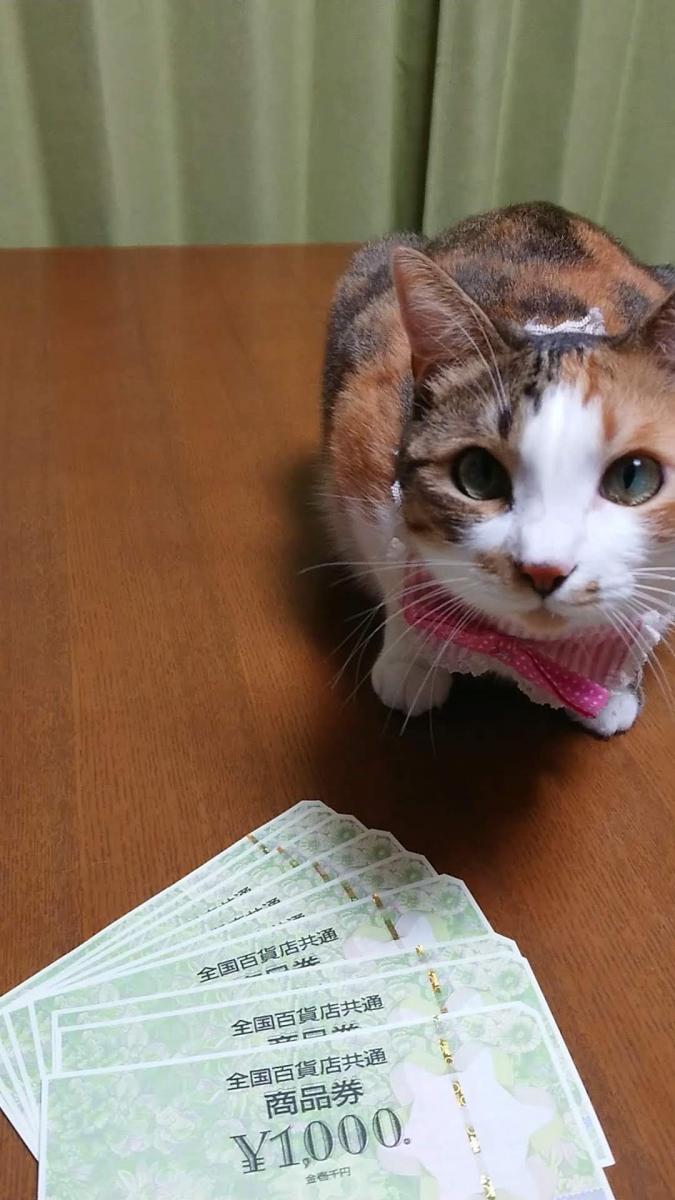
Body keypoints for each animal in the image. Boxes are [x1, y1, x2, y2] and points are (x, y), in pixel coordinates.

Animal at [320, 202, 675, 737]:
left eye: (633, 477)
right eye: (480, 476)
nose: (545, 569)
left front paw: (612, 689)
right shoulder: (364, 432)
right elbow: (395, 564)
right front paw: (412, 660)